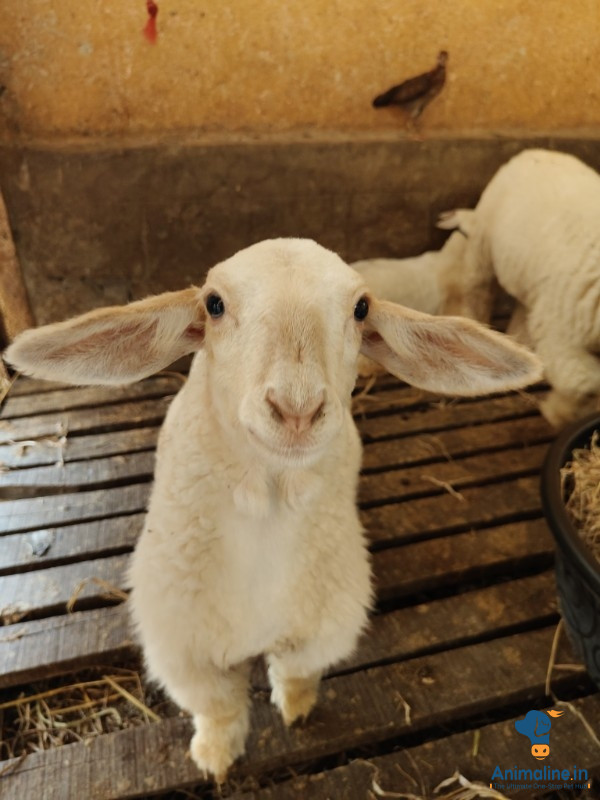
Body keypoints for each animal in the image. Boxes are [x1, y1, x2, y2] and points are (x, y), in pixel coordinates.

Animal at [4, 238, 542, 782]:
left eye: (361, 308)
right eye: (214, 304)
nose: (297, 409)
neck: (269, 503)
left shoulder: (322, 623)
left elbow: (297, 673)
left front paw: (296, 710)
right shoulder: (185, 646)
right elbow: (218, 706)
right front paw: (216, 756)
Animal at [436, 148, 600, 427]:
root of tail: (538, 151)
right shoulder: (559, 334)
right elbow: (583, 382)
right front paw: (560, 413)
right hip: (483, 243)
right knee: (476, 287)